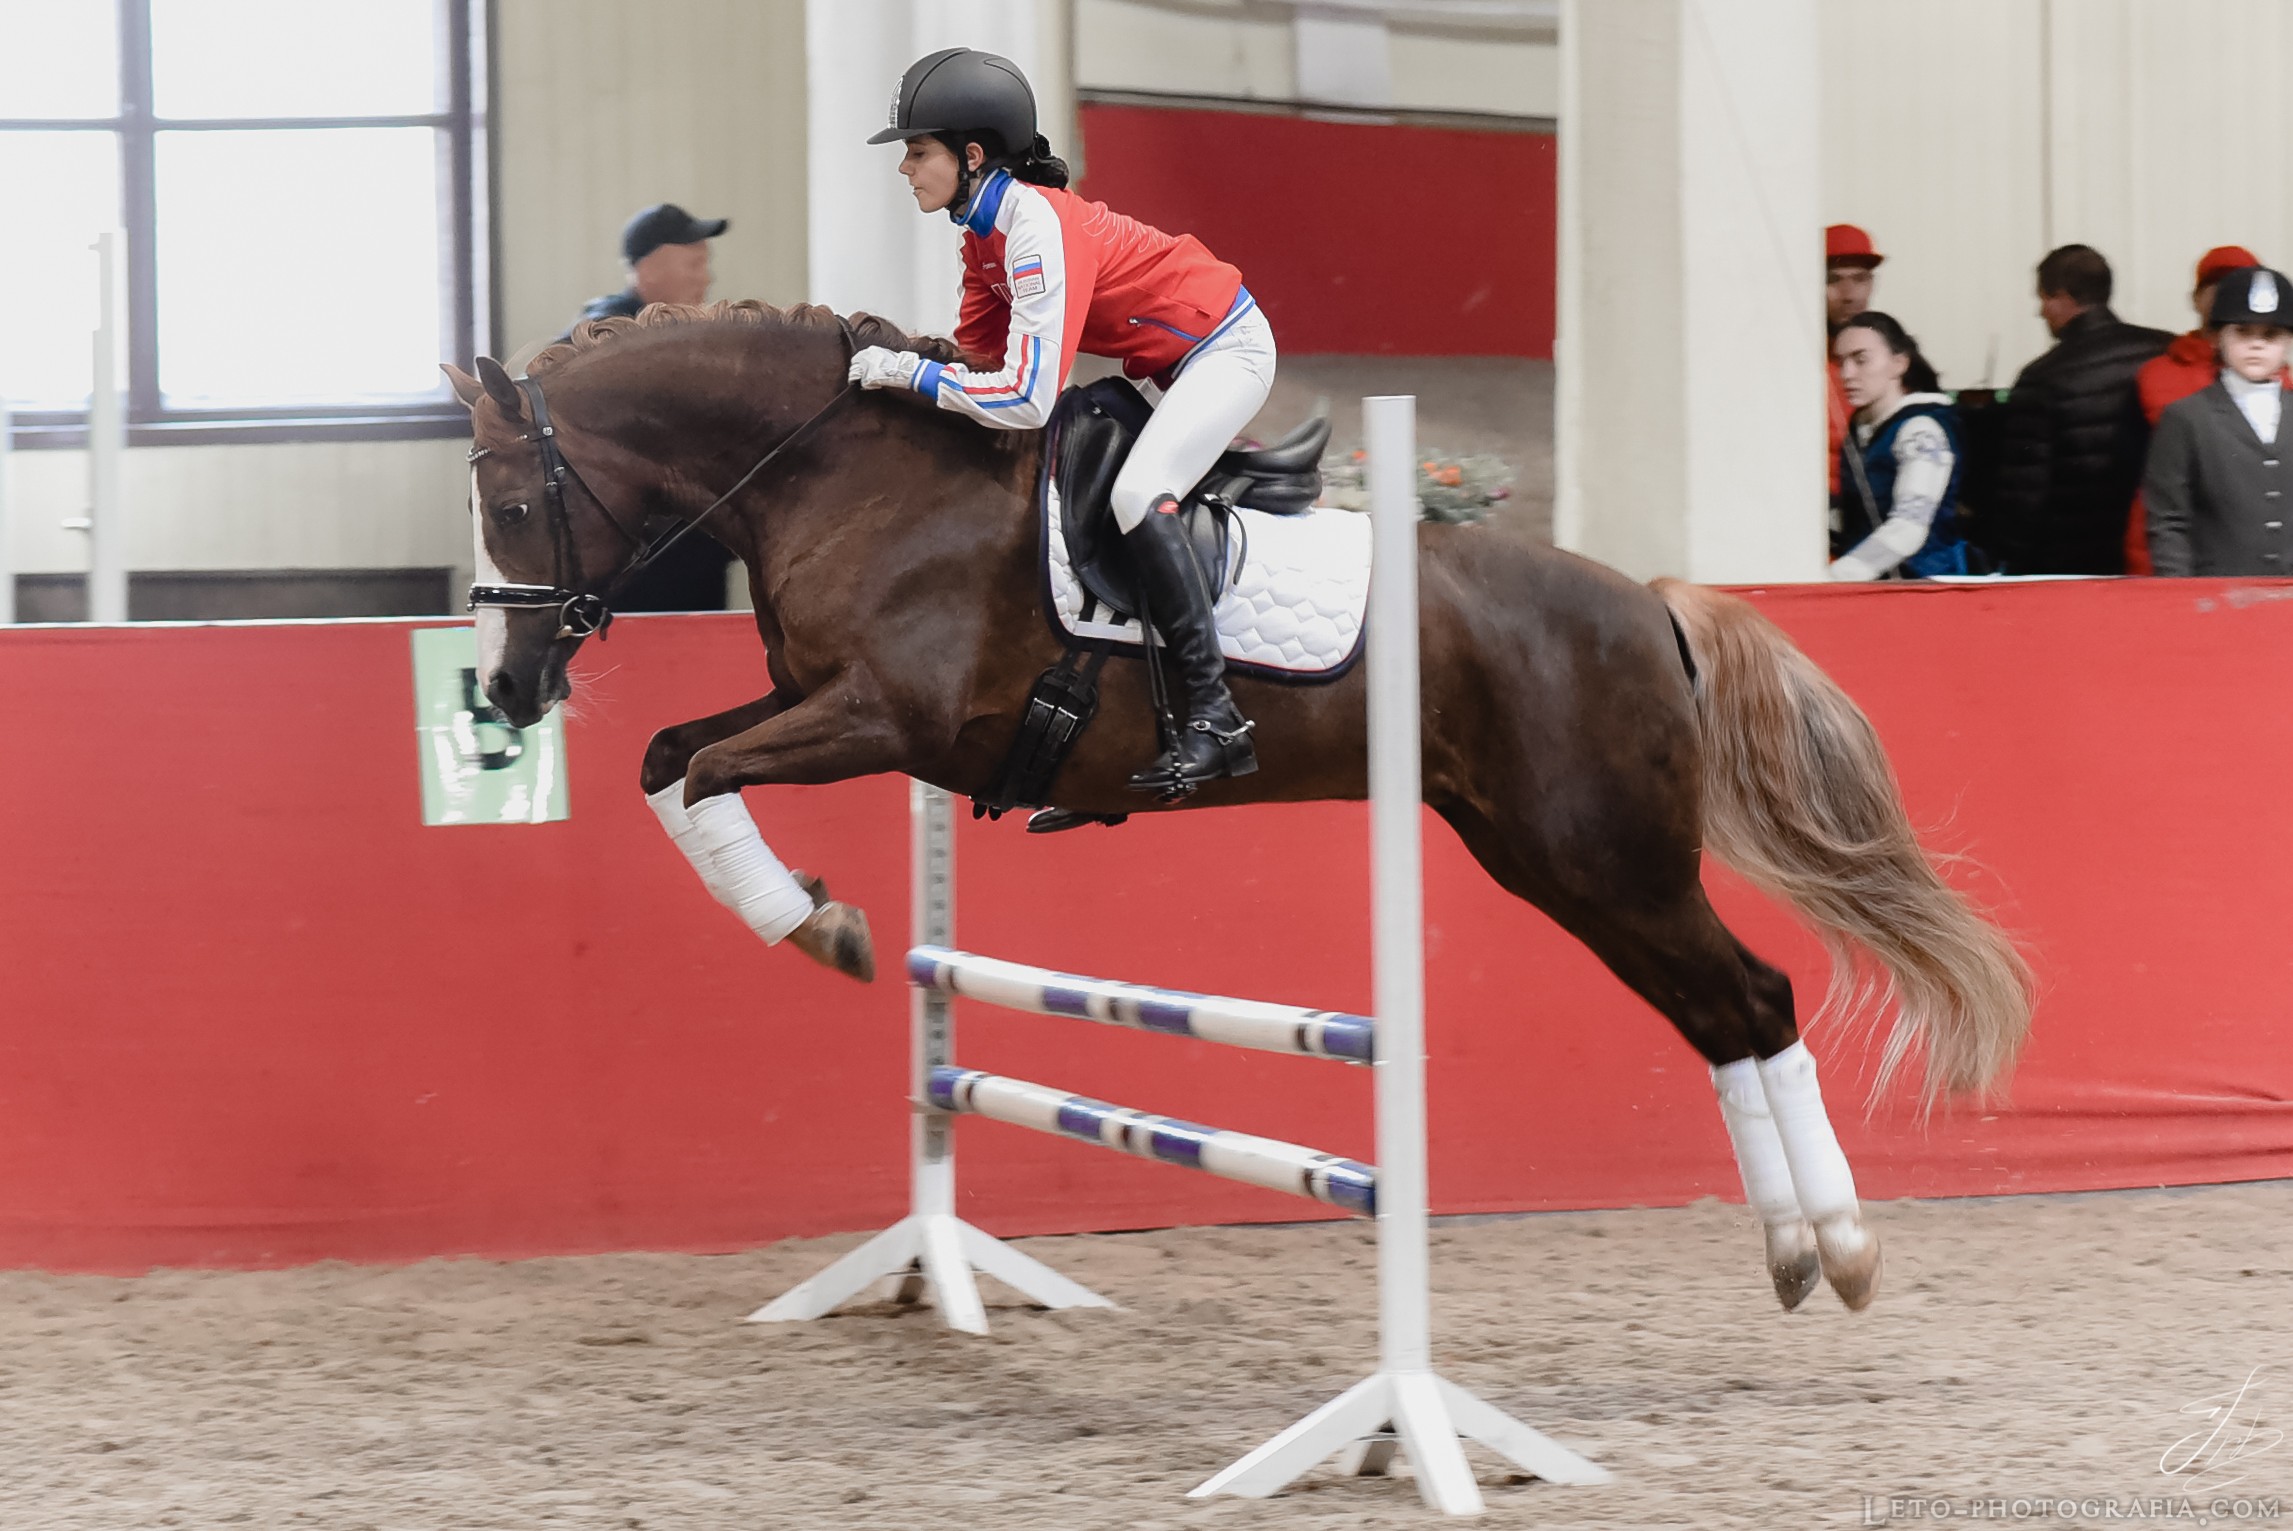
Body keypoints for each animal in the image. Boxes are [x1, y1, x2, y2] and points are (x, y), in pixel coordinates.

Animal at [456, 302, 2036, 1320]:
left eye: (516, 505)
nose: (507, 685)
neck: (853, 479)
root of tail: (1645, 605)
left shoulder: (881, 721)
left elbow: (699, 770)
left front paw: (824, 929)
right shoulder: (821, 709)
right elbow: (670, 756)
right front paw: (825, 923)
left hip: (1604, 857)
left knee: (1753, 996)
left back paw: (1841, 1246)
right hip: (1558, 862)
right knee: (1721, 1013)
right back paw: (1799, 1253)